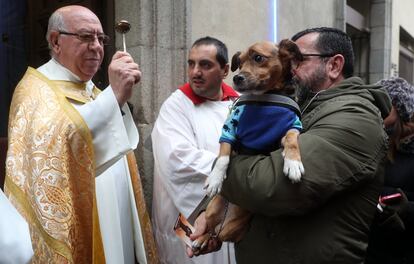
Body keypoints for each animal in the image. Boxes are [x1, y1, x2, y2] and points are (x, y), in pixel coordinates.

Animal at [194, 38, 304, 250]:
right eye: (240, 62)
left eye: (258, 58)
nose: (237, 78)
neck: (266, 98)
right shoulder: (230, 128)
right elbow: (223, 156)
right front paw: (215, 178)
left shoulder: (292, 125)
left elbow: (292, 140)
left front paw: (293, 163)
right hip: (212, 210)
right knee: (210, 230)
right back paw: (200, 240)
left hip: (234, 227)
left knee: (217, 236)